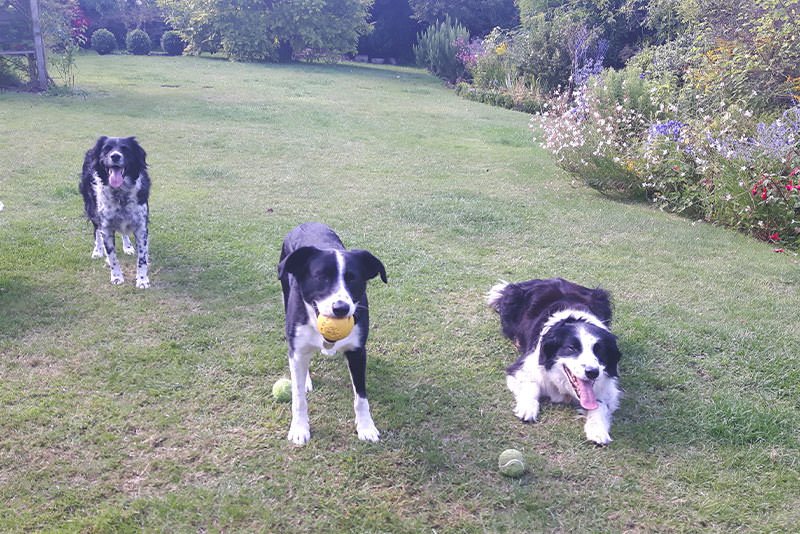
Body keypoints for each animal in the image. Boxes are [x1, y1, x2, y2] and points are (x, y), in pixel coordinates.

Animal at [79, 136, 152, 292]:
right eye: (106, 149)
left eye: (125, 149)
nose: (115, 156)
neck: (120, 194)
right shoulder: (106, 228)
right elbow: (112, 256)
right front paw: (117, 277)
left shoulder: (141, 227)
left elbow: (142, 258)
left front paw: (142, 280)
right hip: (91, 208)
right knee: (96, 231)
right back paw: (97, 250)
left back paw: (128, 246)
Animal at [276, 223, 386, 448]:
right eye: (321, 277)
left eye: (353, 278)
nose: (341, 308)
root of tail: (306, 224)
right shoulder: (297, 346)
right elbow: (298, 397)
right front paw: (299, 428)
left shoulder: (357, 351)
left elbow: (361, 396)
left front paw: (366, 427)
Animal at [484, 278, 620, 446]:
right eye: (571, 348)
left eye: (599, 350)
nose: (592, 372)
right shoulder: (521, 368)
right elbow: (531, 385)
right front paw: (527, 408)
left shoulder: (608, 388)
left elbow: (599, 405)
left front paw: (598, 430)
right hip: (512, 298)